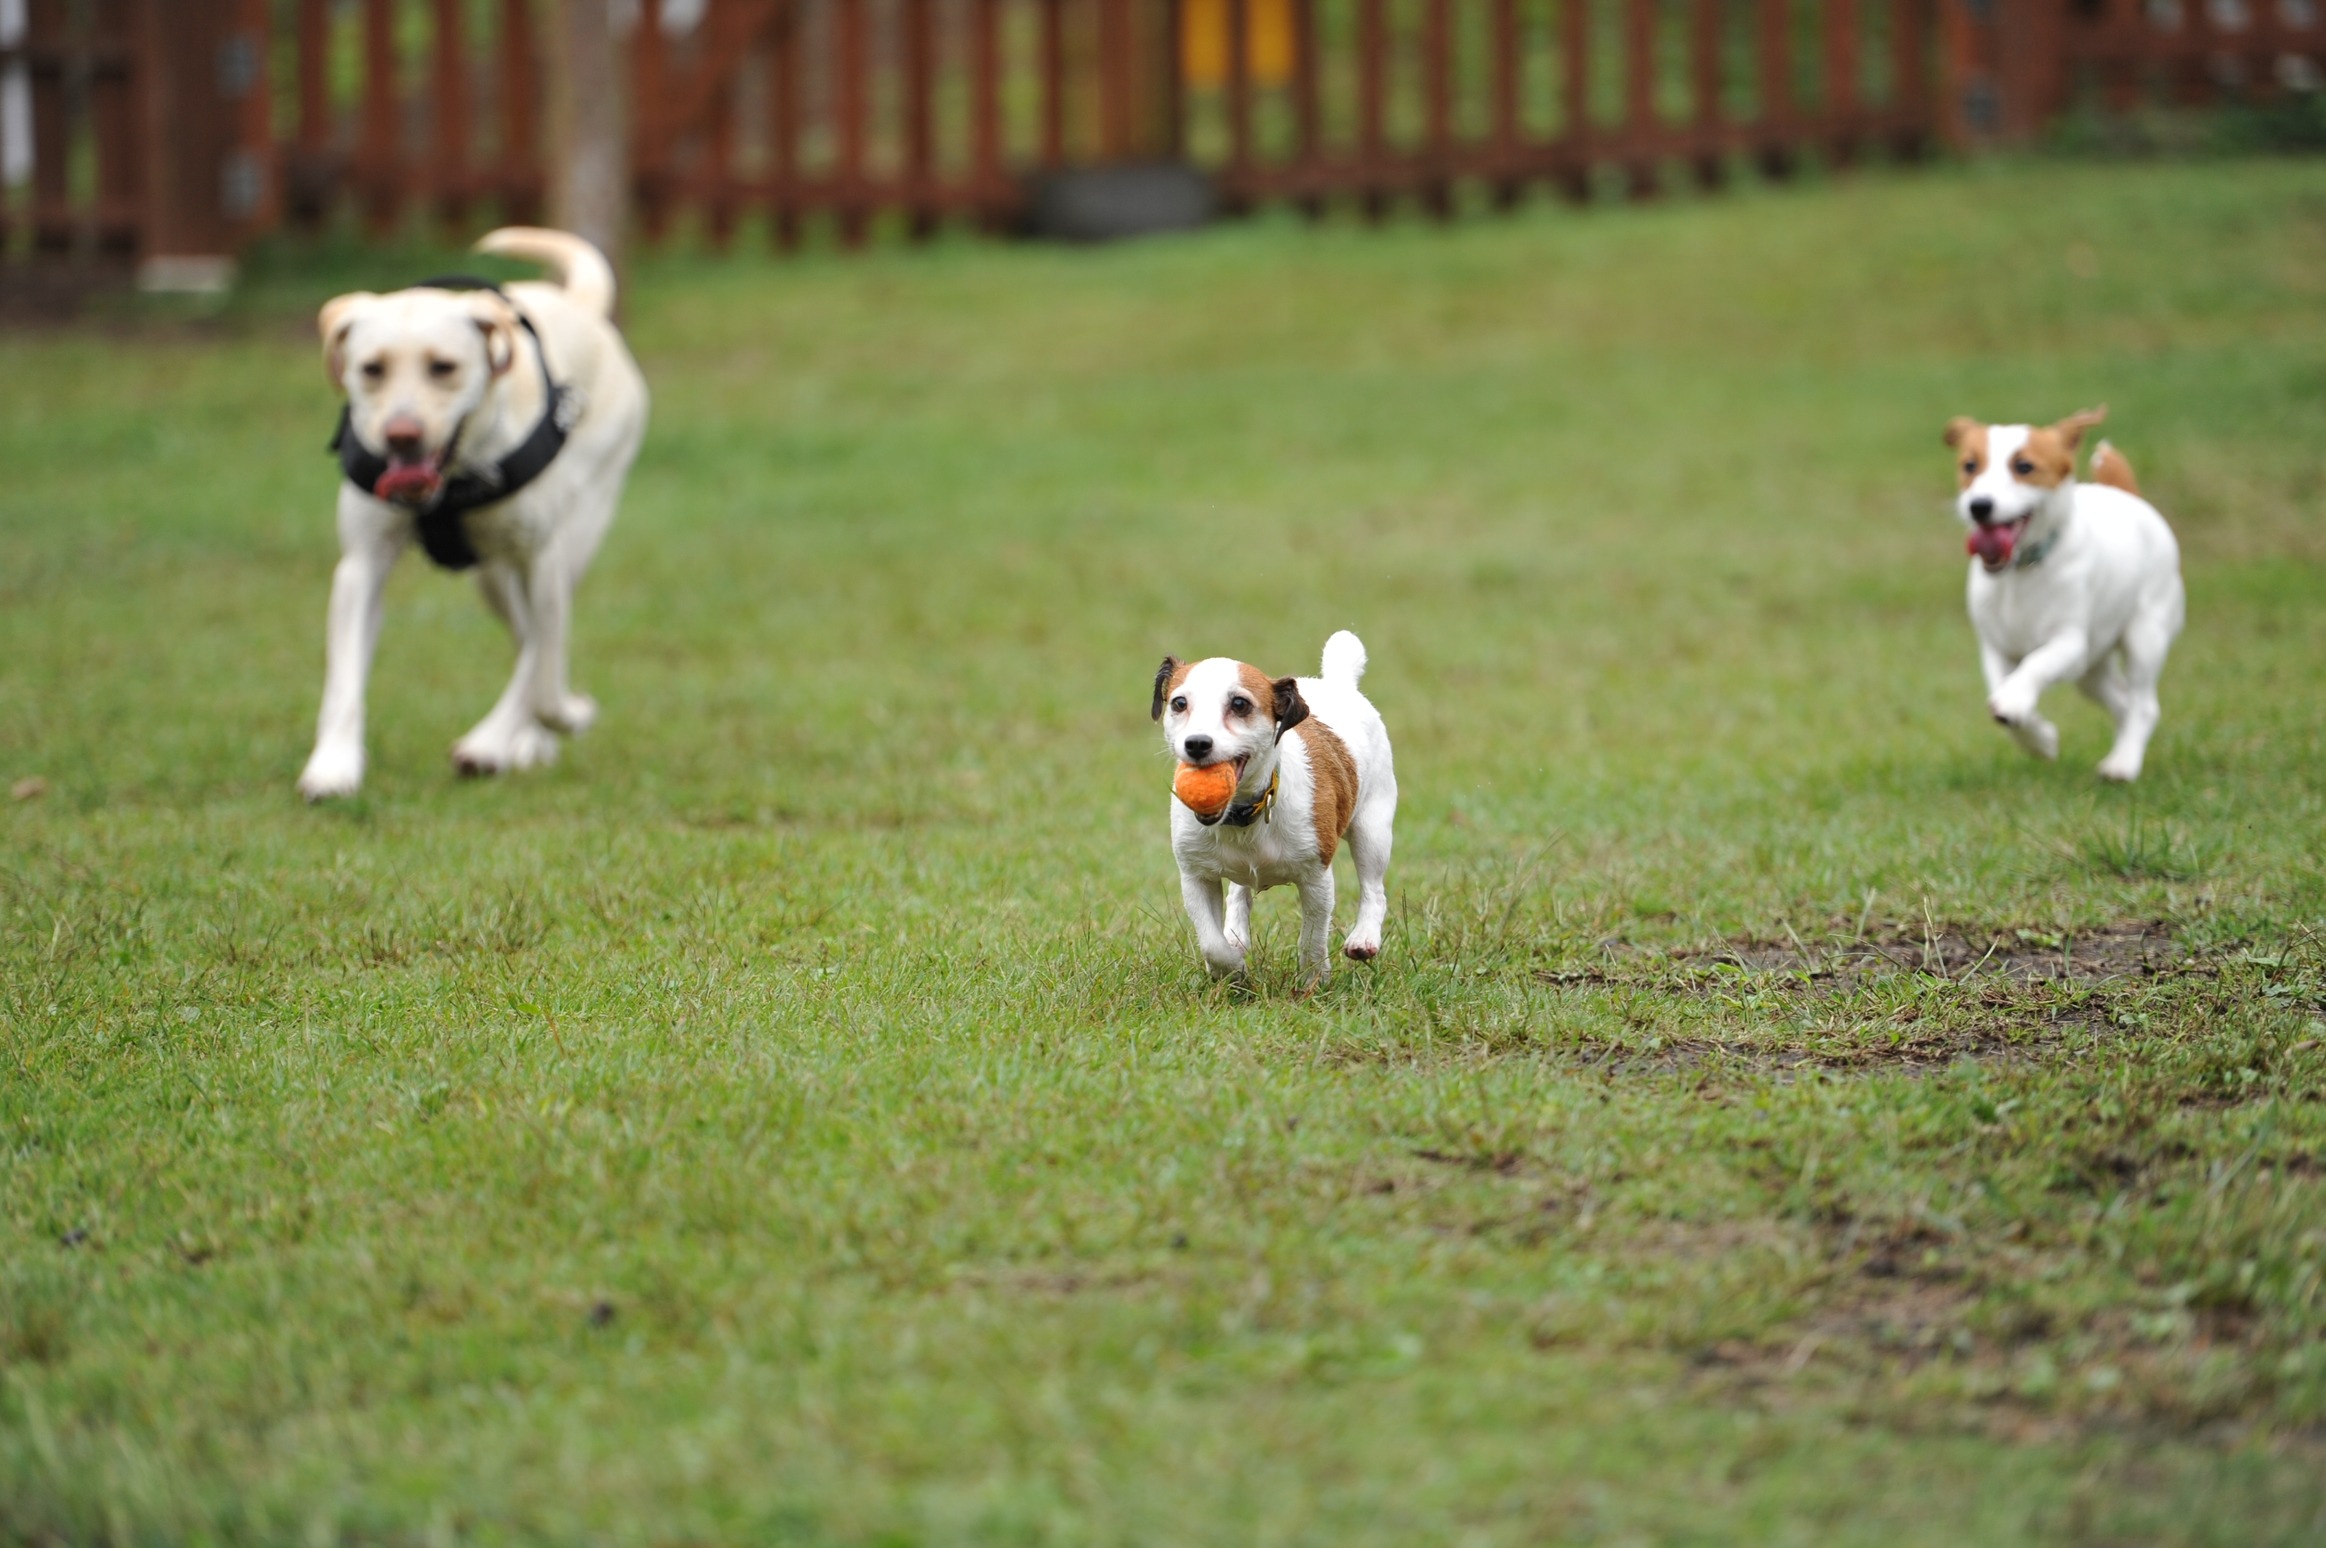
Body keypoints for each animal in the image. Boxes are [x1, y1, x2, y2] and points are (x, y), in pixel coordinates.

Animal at [300, 232, 651, 808]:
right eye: (372, 369)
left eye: (443, 367)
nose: (401, 434)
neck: (450, 482)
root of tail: (578, 304)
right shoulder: (361, 566)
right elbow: (343, 680)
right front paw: (333, 766)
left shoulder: (544, 560)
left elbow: (545, 673)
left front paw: (563, 716)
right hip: (492, 577)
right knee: (525, 633)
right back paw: (522, 741)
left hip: (579, 525)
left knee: (540, 646)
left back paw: (497, 740)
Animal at [1149, 632, 1395, 980]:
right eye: (1179, 703)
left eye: (1240, 704)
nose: (1196, 743)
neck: (1242, 813)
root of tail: (1338, 683)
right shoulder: (1195, 876)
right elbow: (1210, 942)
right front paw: (1231, 969)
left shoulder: (1316, 876)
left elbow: (1312, 936)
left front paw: (1313, 978)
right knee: (1238, 893)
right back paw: (1235, 934)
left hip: (1372, 829)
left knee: (1374, 888)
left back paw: (1364, 938)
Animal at [1944, 404, 2177, 776]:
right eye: (1969, 465)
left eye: (2024, 467)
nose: (1979, 505)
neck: (2021, 571)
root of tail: (2129, 496)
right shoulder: (1996, 646)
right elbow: (2001, 690)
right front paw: (2040, 740)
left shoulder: (2070, 643)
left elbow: (2035, 664)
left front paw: (2015, 701)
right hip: (2092, 669)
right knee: (2121, 701)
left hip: (2145, 634)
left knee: (2143, 703)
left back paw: (2123, 764)